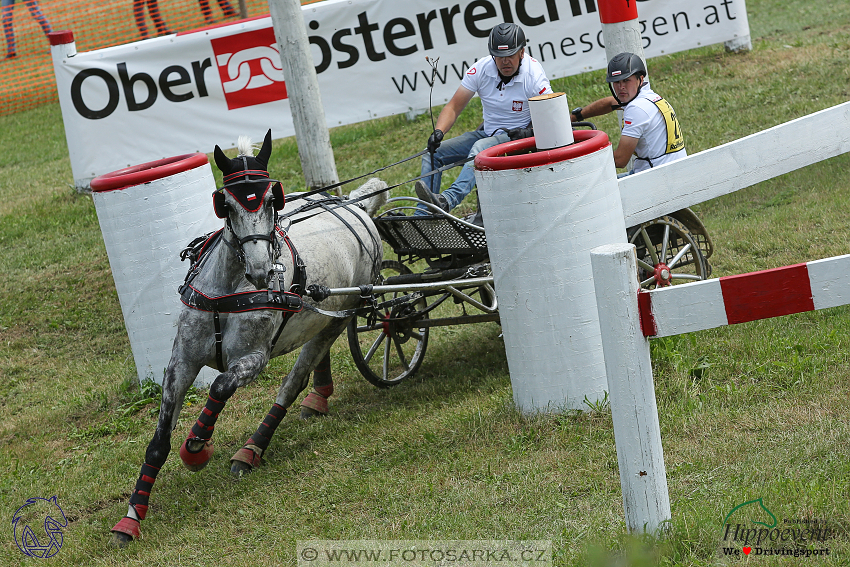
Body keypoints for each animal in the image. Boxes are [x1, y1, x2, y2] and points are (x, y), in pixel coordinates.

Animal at [109, 131, 384, 548]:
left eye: (272, 200)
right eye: (226, 203)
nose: (260, 270)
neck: (229, 291)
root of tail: (356, 206)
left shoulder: (253, 360)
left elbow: (220, 385)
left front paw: (196, 448)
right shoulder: (181, 361)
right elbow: (157, 442)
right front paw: (131, 518)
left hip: (344, 316)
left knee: (293, 382)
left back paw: (253, 447)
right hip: (324, 316)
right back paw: (318, 396)